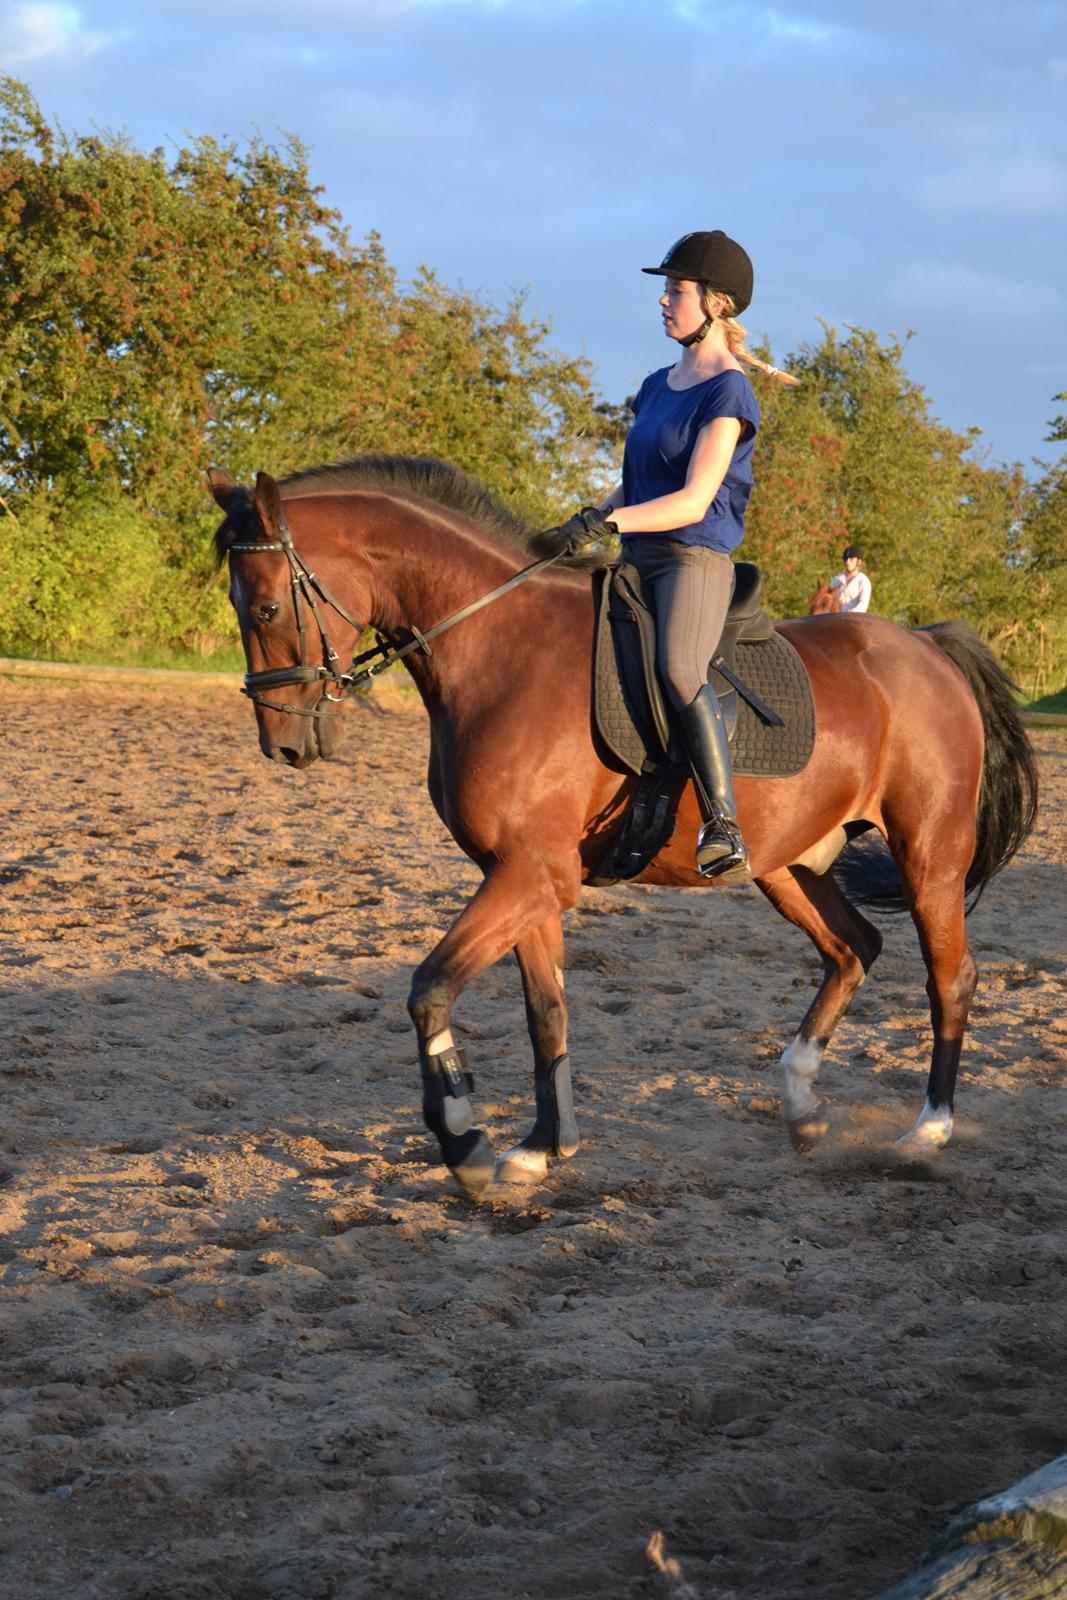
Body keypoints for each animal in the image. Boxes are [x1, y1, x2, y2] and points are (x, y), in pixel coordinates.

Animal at [206, 457, 1036, 1196]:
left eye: (268, 609)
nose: (284, 745)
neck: (499, 646)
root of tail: (924, 645)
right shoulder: (522, 875)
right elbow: (546, 1012)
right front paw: (541, 1148)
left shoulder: (532, 874)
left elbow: (429, 991)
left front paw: (465, 1142)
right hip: (787, 862)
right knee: (852, 948)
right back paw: (801, 1105)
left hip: (928, 852)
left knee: (948, 977)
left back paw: (927, 1130)